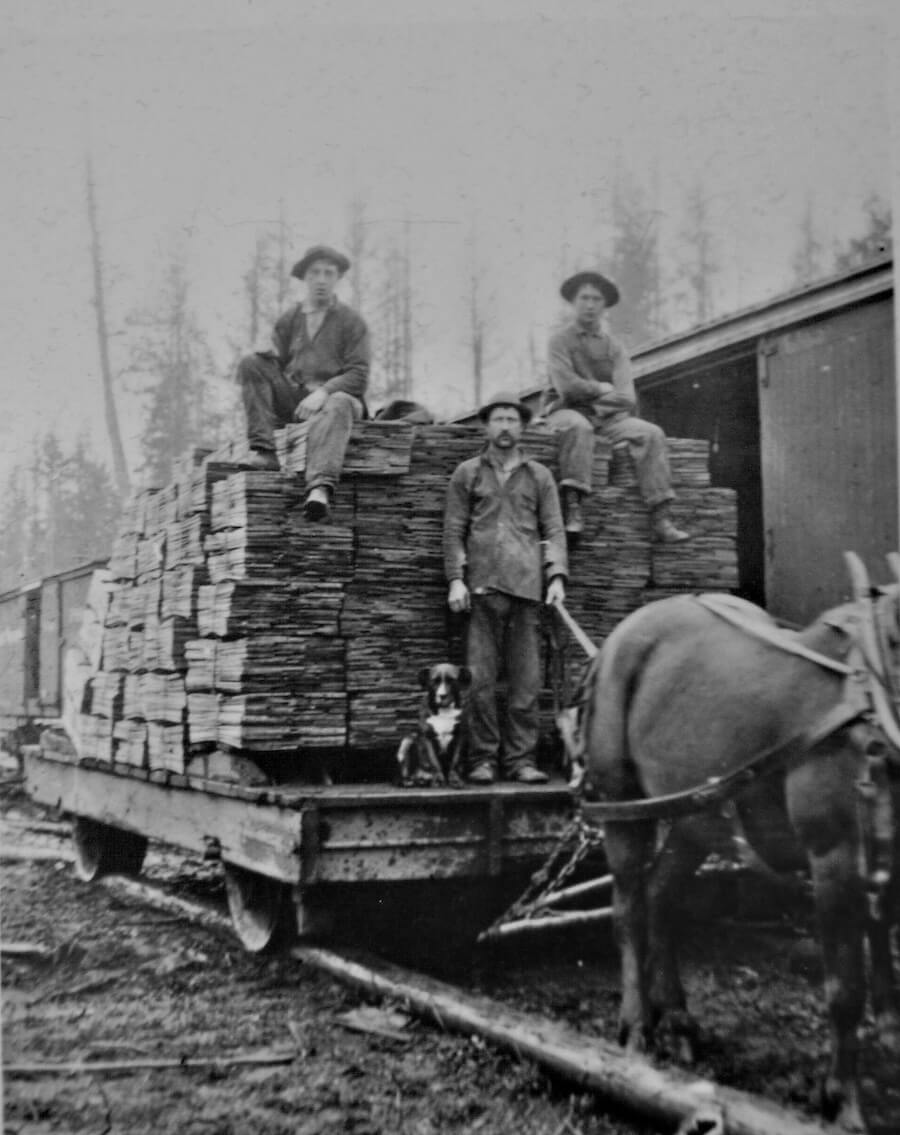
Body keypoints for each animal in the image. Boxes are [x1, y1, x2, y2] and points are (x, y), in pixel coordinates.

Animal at [578, 562, 898, 1130]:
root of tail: (618, 637)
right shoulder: (835, 858)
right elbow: (846, 988)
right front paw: (842, 1100)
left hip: (696, 816)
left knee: (662, 895)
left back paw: (678, 1020)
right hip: (623, 805)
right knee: (629, 908)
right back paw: (637, 1027)